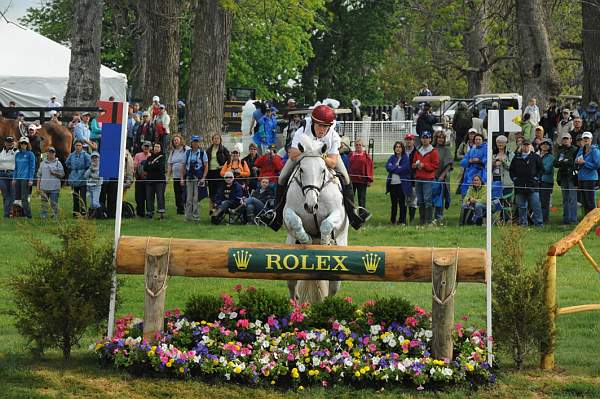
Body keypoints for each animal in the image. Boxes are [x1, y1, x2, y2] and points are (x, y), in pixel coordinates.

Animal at [284, 134, 350, 304]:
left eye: (322, 170)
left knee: (332, 291)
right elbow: (295, 221)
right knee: (292, 288)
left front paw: (325, 242)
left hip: (338, 273)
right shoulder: (287, 212)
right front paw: (305, 239)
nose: (311, 206)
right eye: (301, 169)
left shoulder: (338, 213)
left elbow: (327, 224)